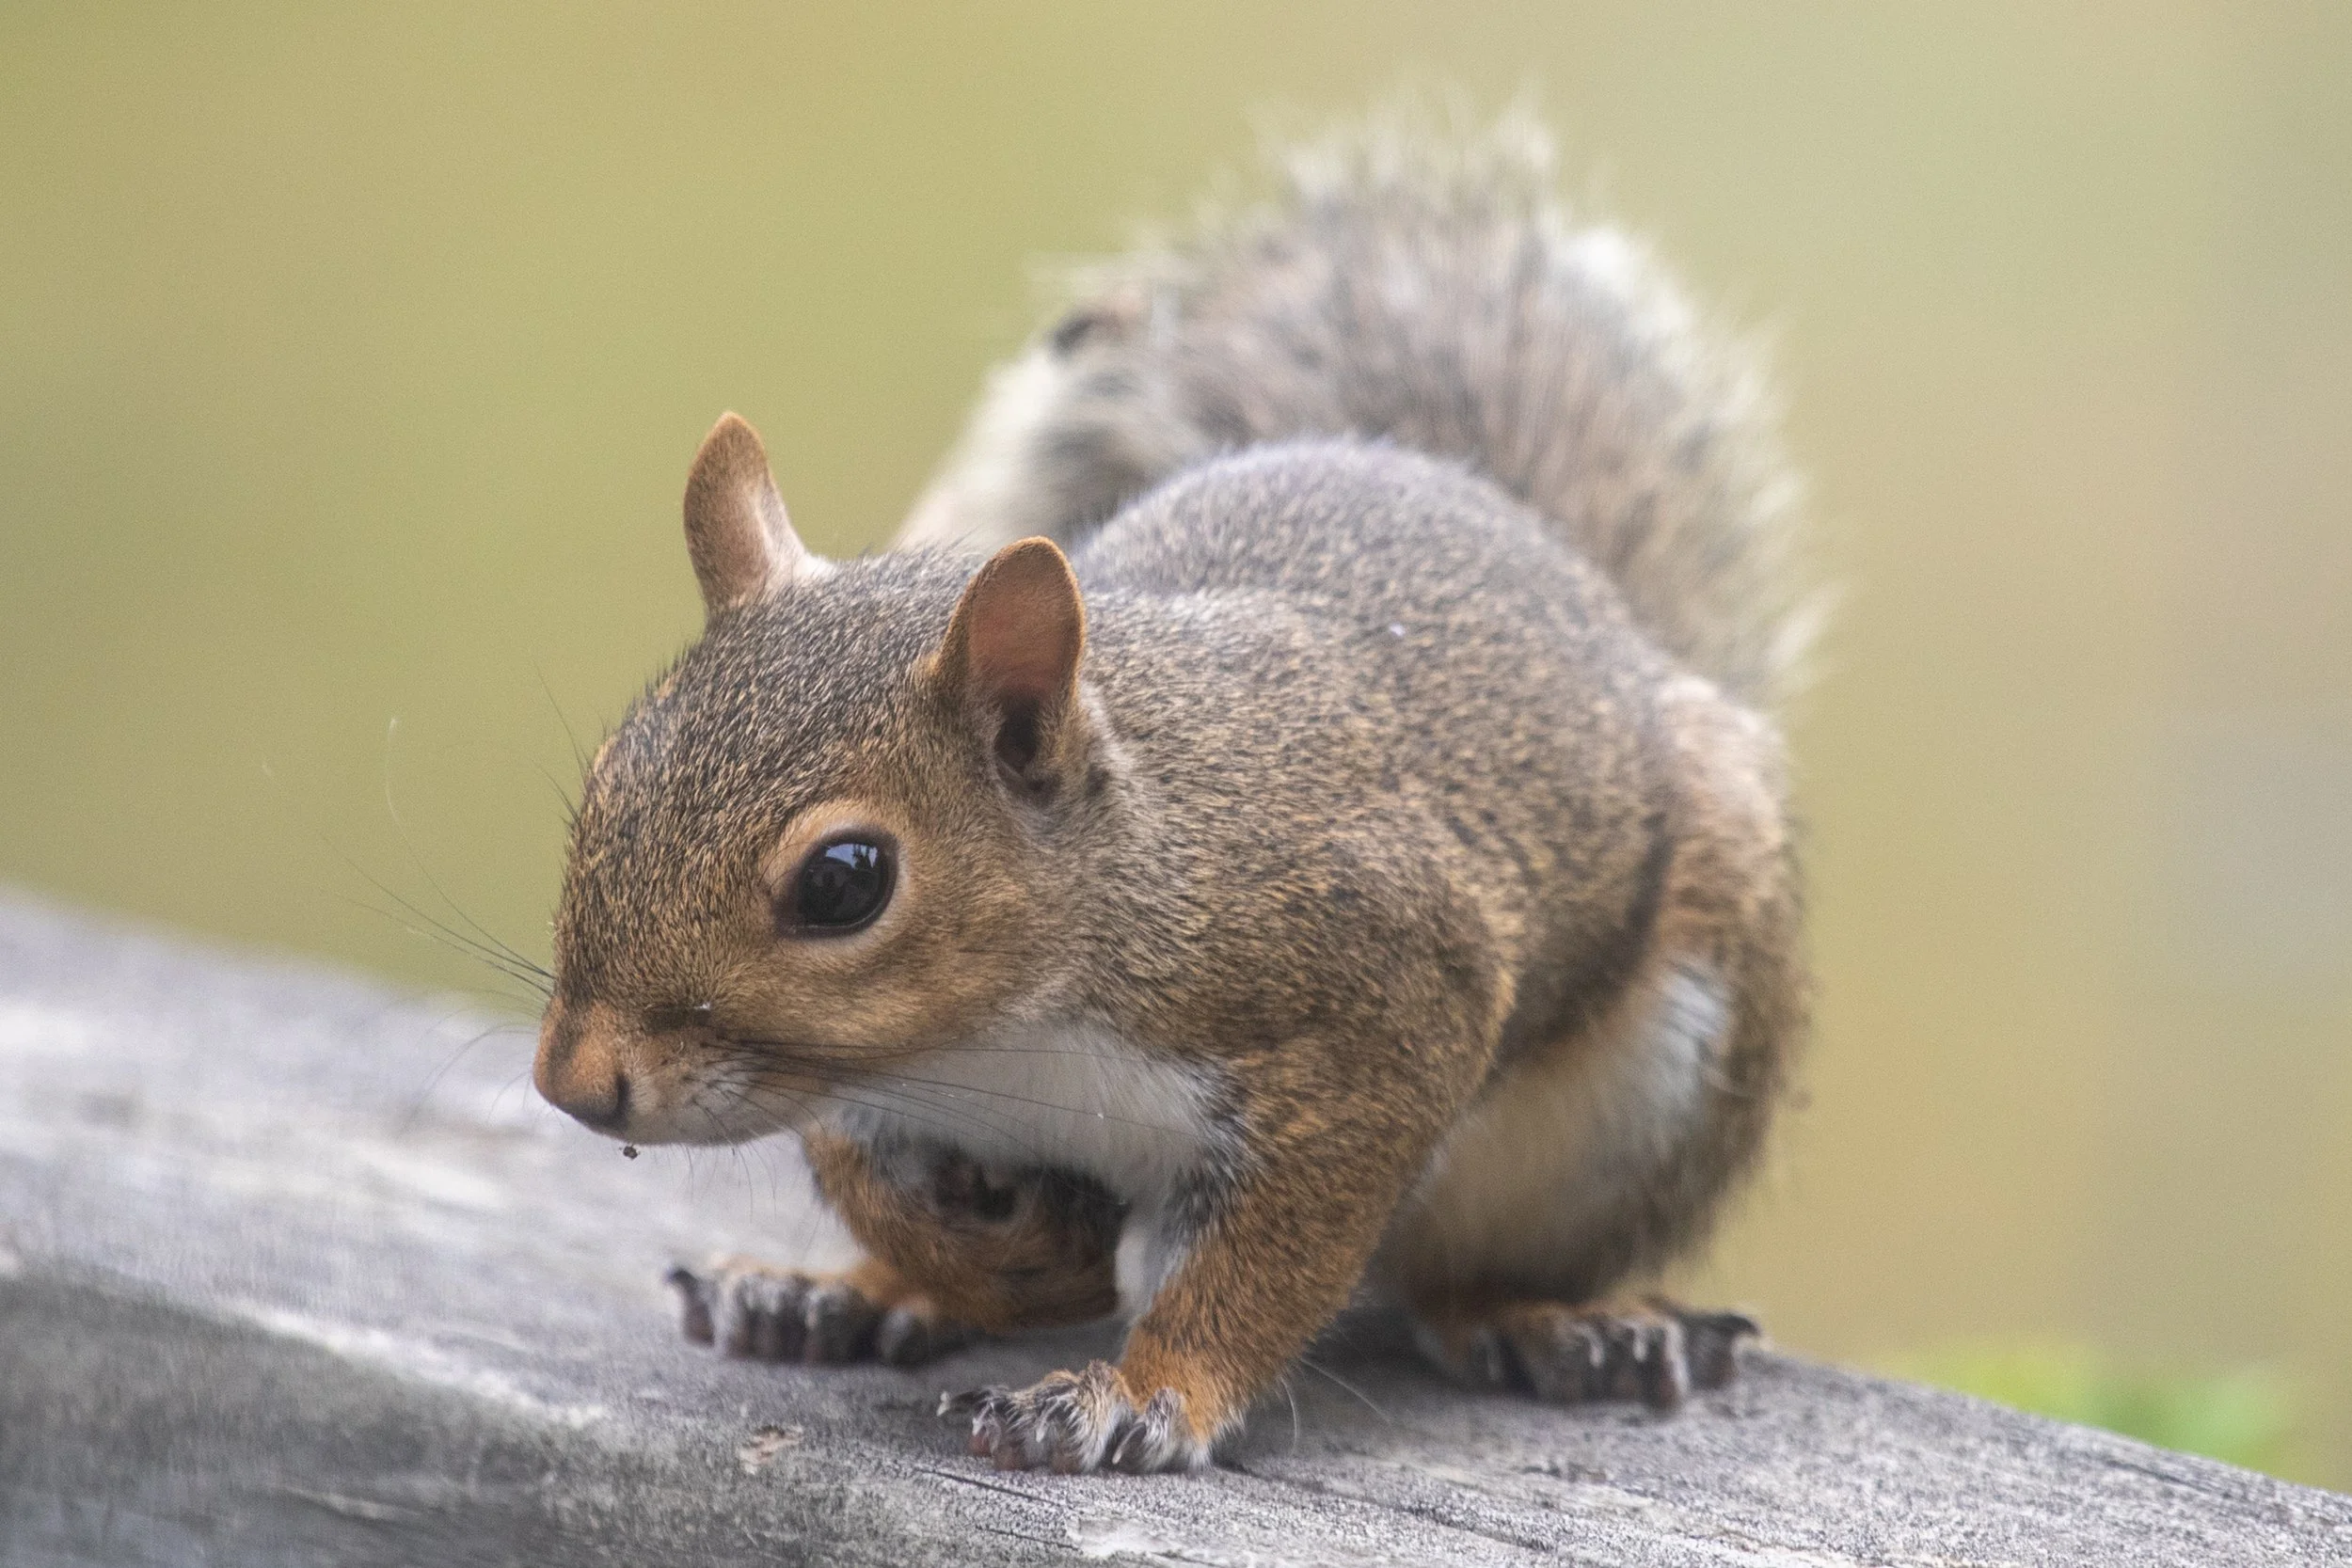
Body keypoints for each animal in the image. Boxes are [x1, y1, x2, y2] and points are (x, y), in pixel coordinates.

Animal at [533, 111, 1810, 1474]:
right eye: (609, 777)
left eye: (843, 881)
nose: (576, 1081)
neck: (1007, 1037)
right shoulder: (862, 1091)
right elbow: (886, 1189)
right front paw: (984, 1263)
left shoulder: (1387, 993)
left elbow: (1269, 1259)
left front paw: (1144, 1391)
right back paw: (833, 1295)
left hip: (1645, 1090)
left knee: (1458, 1271)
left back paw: (1558, 1319)